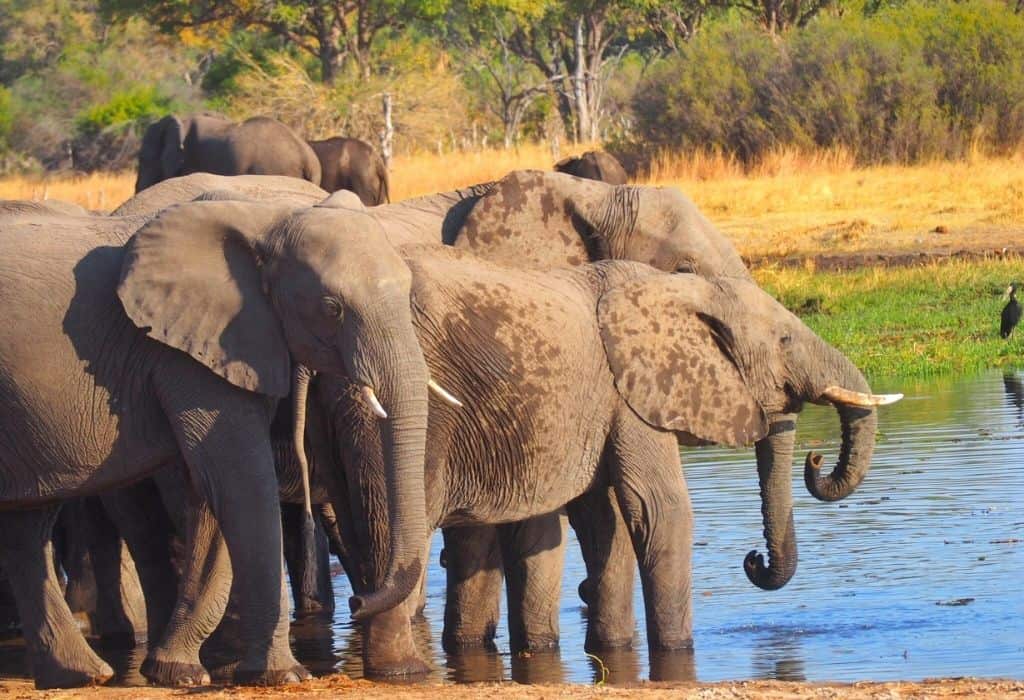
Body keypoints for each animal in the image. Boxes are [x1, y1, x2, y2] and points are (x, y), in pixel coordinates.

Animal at [0, 198, 428, 687]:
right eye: (331, 307)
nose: (358, 603)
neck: (265, 219)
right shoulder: (185, 355)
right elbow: (240, 483)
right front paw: (284, 676)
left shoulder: (229, 347)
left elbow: (210, 491)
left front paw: (176, 672)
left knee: (27, 526)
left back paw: (81, 675)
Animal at [309, 247, 897, 679]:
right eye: (784, 339)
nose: (752, 559)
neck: (678, 287)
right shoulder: (630, 390)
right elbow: (658, 509)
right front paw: (677, 654)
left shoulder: (608, 403)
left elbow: (606, 517)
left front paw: (614, 650)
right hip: (391, 418)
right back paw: (401, 673)